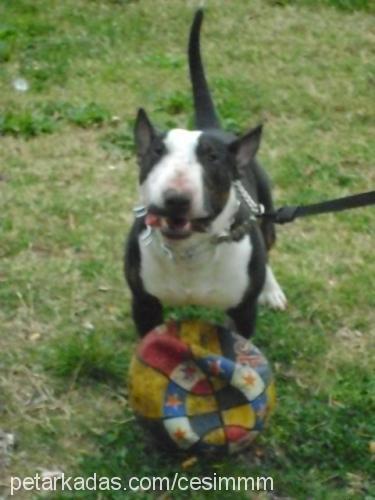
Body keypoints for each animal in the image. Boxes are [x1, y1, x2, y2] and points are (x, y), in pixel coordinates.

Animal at [125, 7, 286, 338]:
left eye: (213, 158)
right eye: (157, 152)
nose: (176, 198)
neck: (189, 252)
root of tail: (213, 126)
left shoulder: (243, 312)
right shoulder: (144, 304)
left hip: (267, 216)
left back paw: (271, 290)